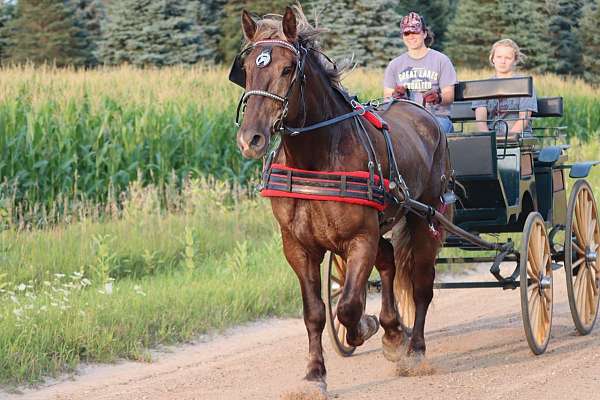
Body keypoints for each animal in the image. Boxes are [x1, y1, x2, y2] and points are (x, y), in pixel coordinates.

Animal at [234, 5, 450, 394]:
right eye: (246, 69)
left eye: (287, 69)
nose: (250, 139)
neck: (316, 158)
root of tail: (424, 114)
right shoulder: (298, 247)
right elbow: (315, 312)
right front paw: (314, 374)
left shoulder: (359, 238)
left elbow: (348, 305)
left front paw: (365, 327)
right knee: (389, 260)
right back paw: (394, 331)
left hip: (426, 217)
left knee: (421, 285)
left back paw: (412, 349)